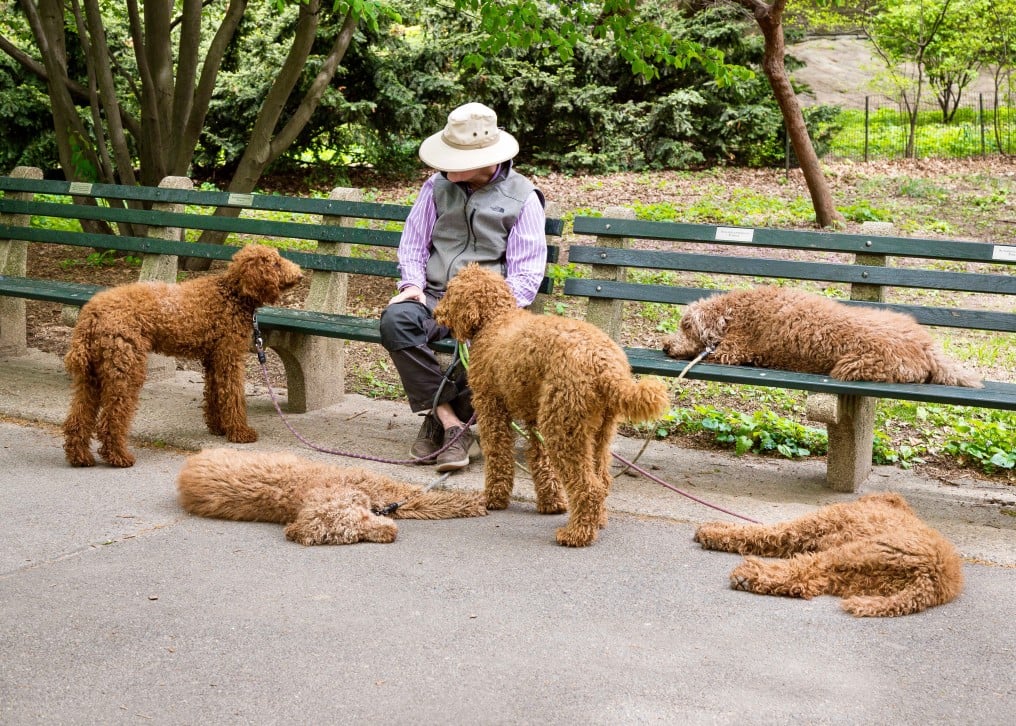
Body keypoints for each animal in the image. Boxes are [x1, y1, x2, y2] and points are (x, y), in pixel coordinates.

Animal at [61, 246, 300, 469]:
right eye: (275, 263)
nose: (299, 274)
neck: (231, 294)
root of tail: (90, 315)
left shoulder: (213, 359)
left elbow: (215, 395)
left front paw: (218, 428)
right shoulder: (228, 357)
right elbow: (233, 396)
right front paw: (240, 432)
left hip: (91, 376)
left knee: (77, 418)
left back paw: (80, 457)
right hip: (125, 371)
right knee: (111, 420)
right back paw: (119, 457)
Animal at [177, 448, 487, 544]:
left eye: (360, 520)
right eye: (353, 537)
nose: (390, 534)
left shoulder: (386, 490)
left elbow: (431, 499)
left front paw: (477, 500)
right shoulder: (390, 500)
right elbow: (426, 503)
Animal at [432, 264, 670, 548]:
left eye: (449, 291)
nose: (435, 312)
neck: (495, 320)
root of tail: (605, 364)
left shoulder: (492, 409)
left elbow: (499, 456)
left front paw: (494, 498)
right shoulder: (534, 418)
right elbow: (540, 459)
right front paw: (551, 502)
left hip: (563, 427)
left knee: (588, 487)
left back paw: (576, 534)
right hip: (597, 430)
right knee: (601, 480)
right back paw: (597, 521)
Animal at [662, 286, 979, 389]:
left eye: (686, 328)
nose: (665, 346)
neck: (736, 312)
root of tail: (928, 347)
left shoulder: (732, 350)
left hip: (853, 365)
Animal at [694, 491, 963, 617]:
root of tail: (934, 580)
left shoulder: (803, 529)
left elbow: (760, 532)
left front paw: (710, 531)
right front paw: (713, 528)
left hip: (849, 554)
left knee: (800, 571)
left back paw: (748, 575)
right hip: (856, 576)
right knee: (806, 582)